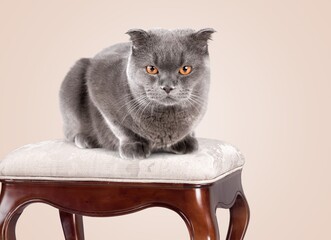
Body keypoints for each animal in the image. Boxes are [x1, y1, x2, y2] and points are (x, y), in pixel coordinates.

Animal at [59, 28, 215, 159]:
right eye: (151, 69)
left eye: (185, 69)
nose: (167, 87)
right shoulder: (98, 87)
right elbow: (118, 126)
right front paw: (133, 146)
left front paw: (185, 141)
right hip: (76, 74)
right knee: (69, 133)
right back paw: (85, 139)